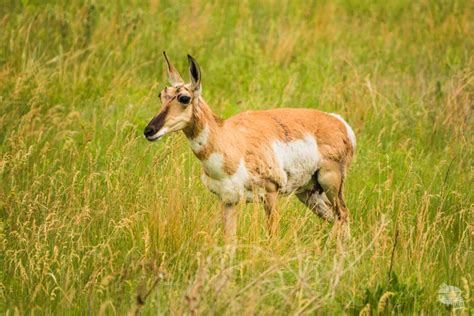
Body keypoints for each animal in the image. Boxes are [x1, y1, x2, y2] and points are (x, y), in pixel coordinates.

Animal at [144, 53, 356, 242]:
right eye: (161, 95)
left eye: (184, 98)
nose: (149, 130)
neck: (230, 141)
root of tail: (338, 121)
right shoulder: (228, 201)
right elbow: (229, 241)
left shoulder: (270, 194)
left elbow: (272, 238)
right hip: (308, 192)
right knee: (336, 216)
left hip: (330, 181)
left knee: (343, 214)